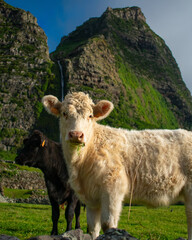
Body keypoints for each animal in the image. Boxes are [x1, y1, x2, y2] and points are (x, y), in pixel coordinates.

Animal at [42, 91, 192, 238]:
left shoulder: (113, 189)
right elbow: (92, 228)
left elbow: (108, 225)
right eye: (64, 113)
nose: (76, 135)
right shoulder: (91, 199)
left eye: (90, 115)